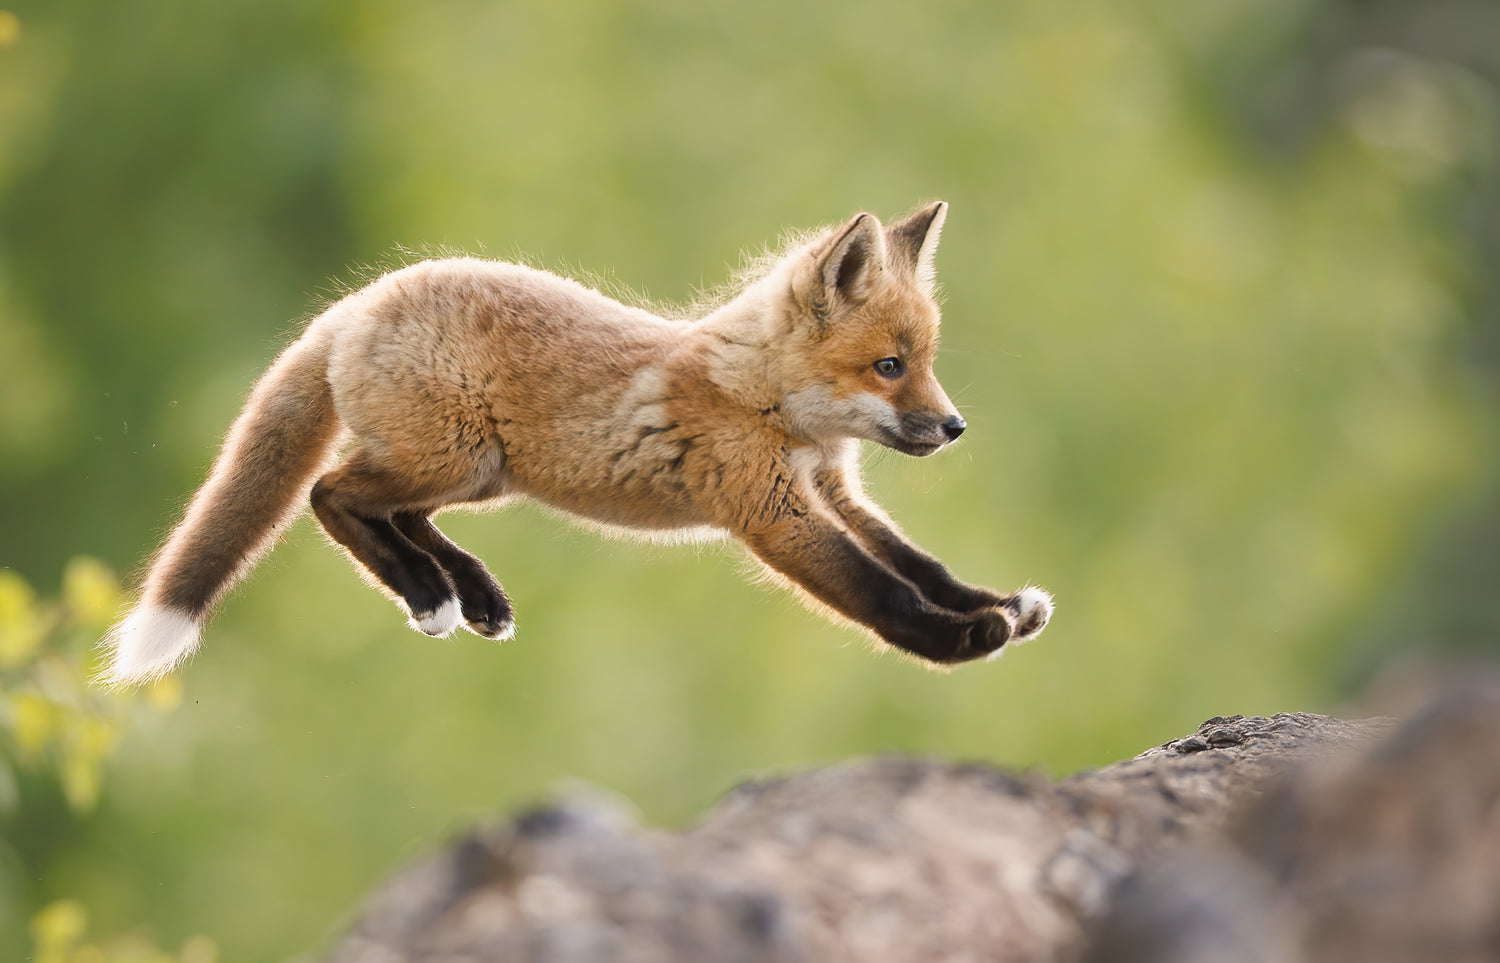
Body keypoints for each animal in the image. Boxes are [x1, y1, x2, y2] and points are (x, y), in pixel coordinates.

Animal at [99, 202, 1056, 684]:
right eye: (889, 366)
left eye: (924, 363)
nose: (954, 426)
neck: (770, 405)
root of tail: (358, 301)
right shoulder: (775, 510)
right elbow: (880, 592)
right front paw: (962, 641)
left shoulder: (835, 490)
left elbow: (921, 564)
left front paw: (998, 603)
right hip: (453, 457)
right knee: (329, 496)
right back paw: (431, 593)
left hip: (479, 474)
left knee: (390, 510)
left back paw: (468, 591)